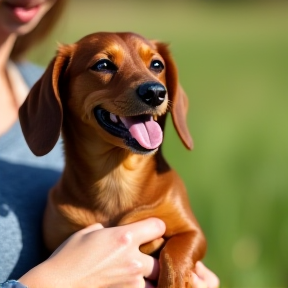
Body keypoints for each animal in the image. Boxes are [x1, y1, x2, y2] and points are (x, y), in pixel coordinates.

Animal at [18, 32, 207, 288]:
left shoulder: (192, 231)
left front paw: (174, 281)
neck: (116, 176)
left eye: (157, 65)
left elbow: (176, 252)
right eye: (103, 65)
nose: (155, 92)